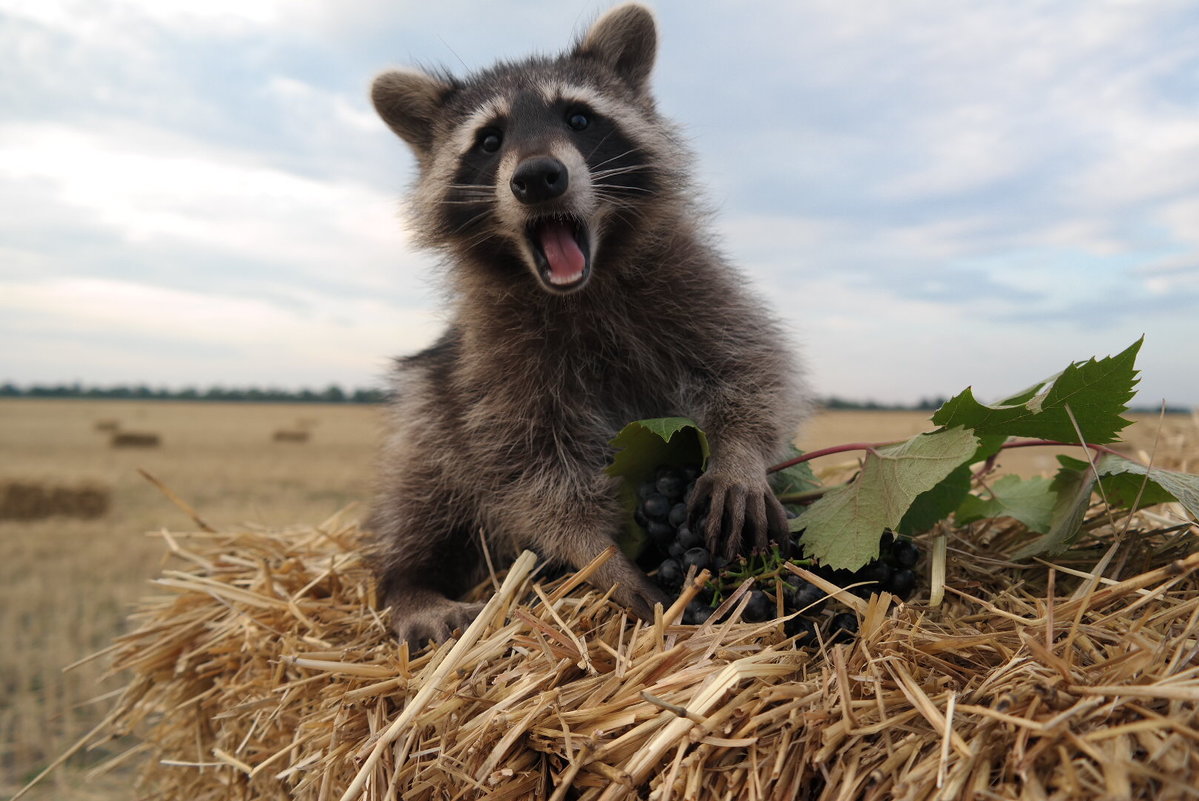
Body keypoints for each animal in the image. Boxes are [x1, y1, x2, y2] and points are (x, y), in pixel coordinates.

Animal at [369, 3, 810, 642]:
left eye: (578, 118)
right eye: (489, 140)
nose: (537, 176)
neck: (583, 288)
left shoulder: (696, 289)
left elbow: (752, 366)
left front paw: (740, 453)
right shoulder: (493, 366)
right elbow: (528, 466)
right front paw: (595, 552)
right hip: (431, 402)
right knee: (422, 487)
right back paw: (411, 582)